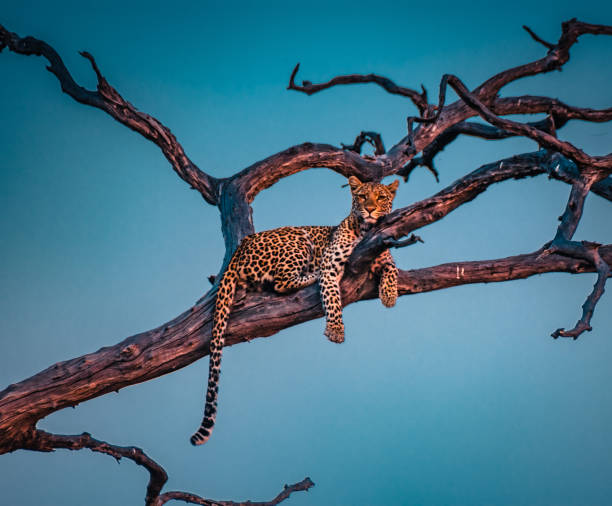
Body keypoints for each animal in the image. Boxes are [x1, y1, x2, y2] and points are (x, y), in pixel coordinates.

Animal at [192, 176, 402, 444]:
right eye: (363, 197)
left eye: (381, 197)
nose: (371, 209)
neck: (365, 231)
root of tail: (241, 247)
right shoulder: (331, 266)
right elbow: (332, 299)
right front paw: (335, 330)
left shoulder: (384, 254)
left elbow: (392, 269)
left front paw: (389, 295)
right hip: (298, 237)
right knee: (282, 282)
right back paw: (311, 274)